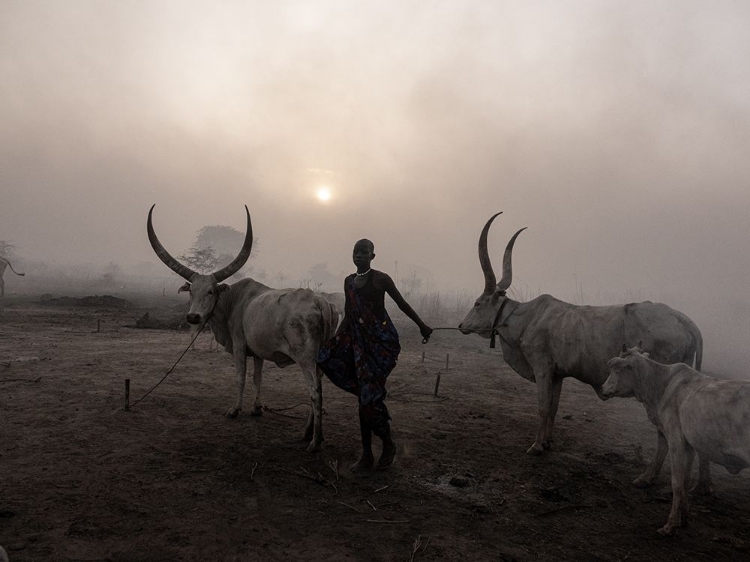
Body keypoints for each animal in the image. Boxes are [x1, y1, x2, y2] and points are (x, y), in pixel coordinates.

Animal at [148, 205, 340, 450]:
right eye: (191, 291)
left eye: (211, 291)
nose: (193, 316)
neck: (233, 302)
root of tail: (320, 301)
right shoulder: (257, 351)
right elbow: (257, 377)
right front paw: (256, 409)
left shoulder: (239, 346)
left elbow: (240, 376)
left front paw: (234, 409)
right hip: (320, 360)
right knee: (320, 390)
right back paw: (310, 433)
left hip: (307, 358)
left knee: (314, 392)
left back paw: (314, 442)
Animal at [458, 212, 712, 492]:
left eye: (477, 303)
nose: (461, 326)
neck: (527, 317)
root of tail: (680, 318)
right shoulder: (557, 375)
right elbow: (554, 407)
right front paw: (547, 442)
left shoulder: (542, 369)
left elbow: (543, 407)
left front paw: (535, 446)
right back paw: (701, 484)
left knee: (664, 433)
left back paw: (649, 476)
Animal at [604, 346, 750, 532]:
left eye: (616, 368)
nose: (602, 388)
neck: (662, 384)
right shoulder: (689, 444)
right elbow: (686, 481)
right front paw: (684, 516)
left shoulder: (675, 439)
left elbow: (677, 482)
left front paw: (671, 524)